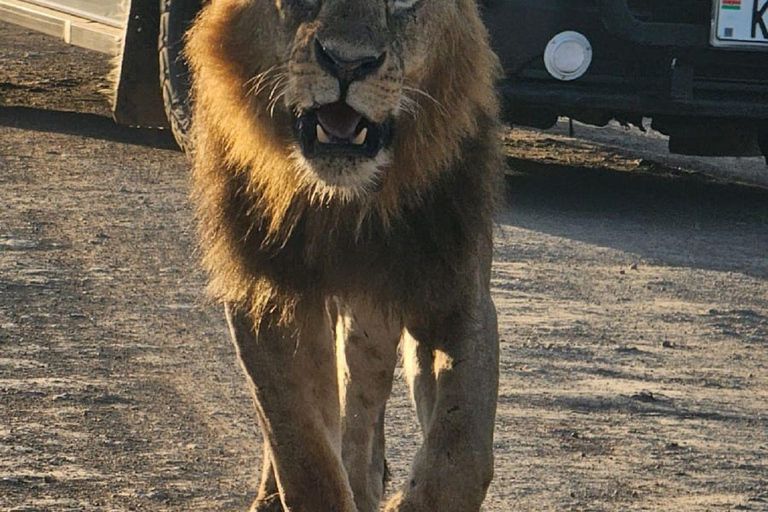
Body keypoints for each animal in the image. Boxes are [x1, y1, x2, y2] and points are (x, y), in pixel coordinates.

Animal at [186, 0, 504, 508]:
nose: (347, 64)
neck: (344, 204)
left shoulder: (453, 292)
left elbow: (462, 453)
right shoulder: (265, 291)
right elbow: (300, 445)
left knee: (363, 403)